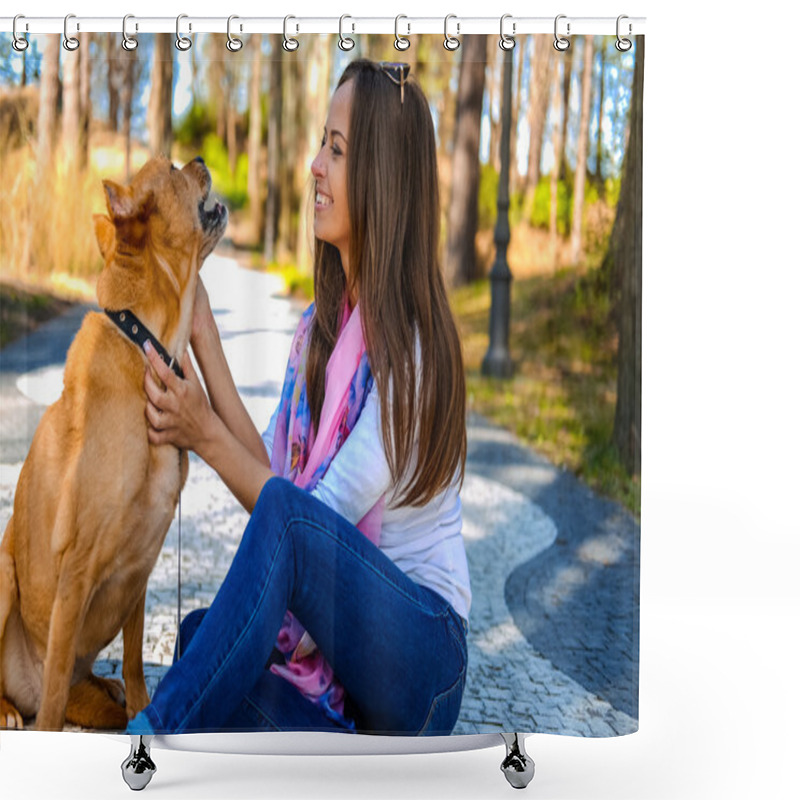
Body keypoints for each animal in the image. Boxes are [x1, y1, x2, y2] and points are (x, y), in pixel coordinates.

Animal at [0, 155, 227, 732]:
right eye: (172, 168)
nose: (199, 159)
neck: (148, 346)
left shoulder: (140, 572)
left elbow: (133, 660)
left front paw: (143, 709)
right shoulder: (77, 569)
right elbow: (56, 689)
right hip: (3, 569)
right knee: (36, 693)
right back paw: (10, 709)